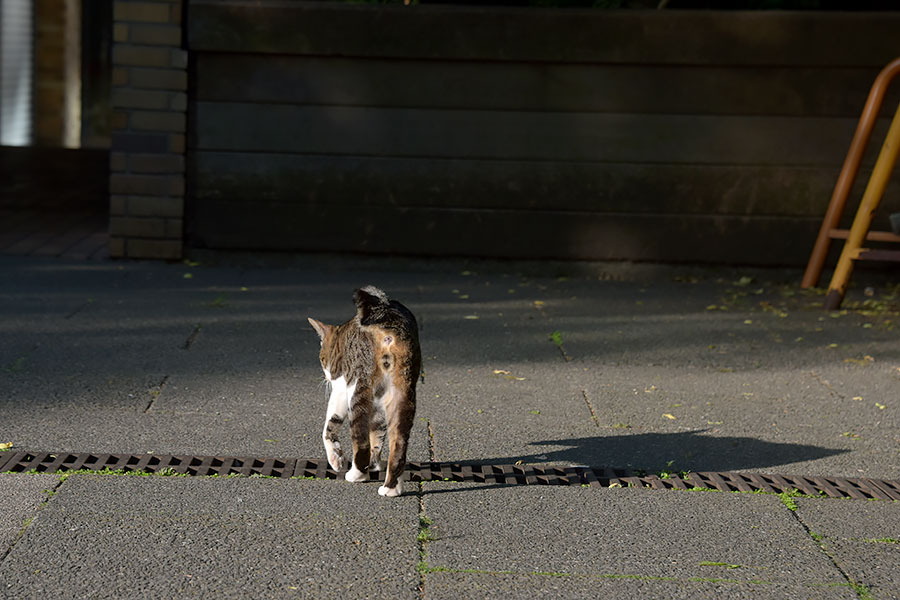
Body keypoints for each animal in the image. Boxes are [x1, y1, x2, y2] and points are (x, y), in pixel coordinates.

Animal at [308, 286, 420, 496]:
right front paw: (374, 464)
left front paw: (336, 459)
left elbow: (330, 424)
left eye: (322, 359)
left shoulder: (341, 387)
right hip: (402, 392)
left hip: (359, 386)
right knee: (398, 443)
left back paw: (357, 474)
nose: (326, 376)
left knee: (360, 437)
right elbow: (377, 433)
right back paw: (391, 487)